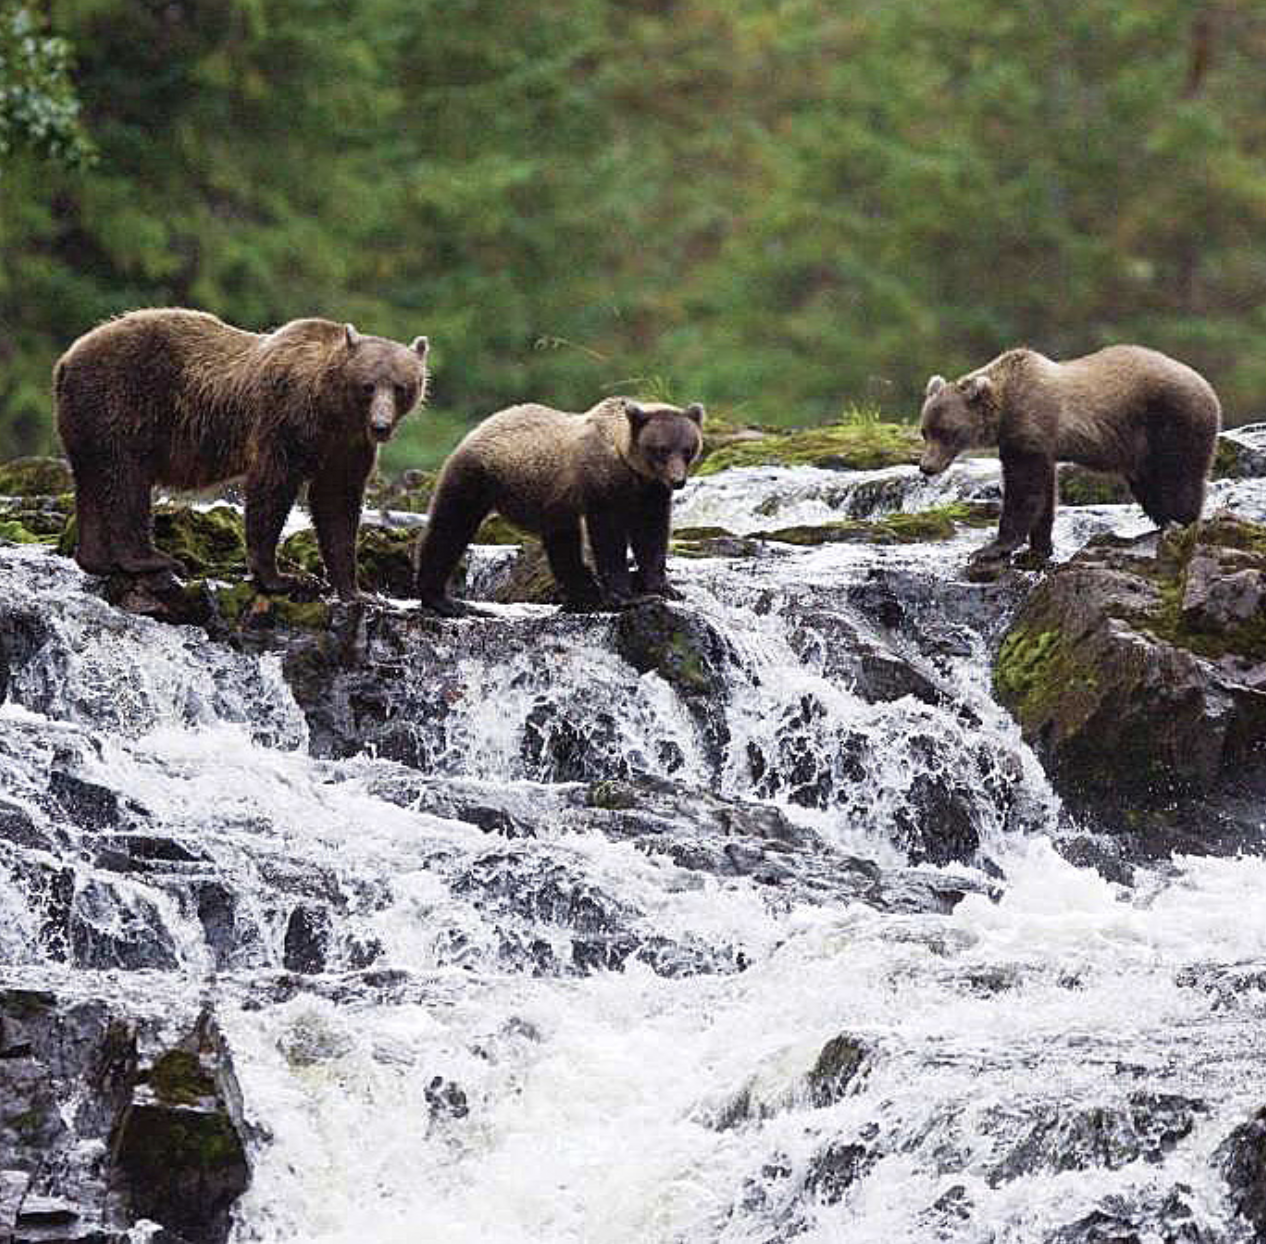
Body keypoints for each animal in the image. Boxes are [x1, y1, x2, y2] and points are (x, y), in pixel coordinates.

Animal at [53, 311, 430, 602]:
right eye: (368, 386)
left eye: (400, 387)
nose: (381, 425)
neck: (331, 409)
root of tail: (66, 359)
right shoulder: (286, 423)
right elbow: (271, 490)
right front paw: (281, 577)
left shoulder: (347, 447)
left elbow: (336, 504)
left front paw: (354, 590)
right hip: (121, 402)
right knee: (126, 480)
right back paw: (151, 559)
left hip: (85, 423)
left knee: (93, 480)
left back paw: (96, 559)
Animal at [420, 397, 708, 615]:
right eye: (661, 449)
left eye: (687, 449)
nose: (678, 480)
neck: (628, 464)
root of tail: (479, 427)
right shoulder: (603, 486)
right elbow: (609, 538)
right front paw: (628, 595)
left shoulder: (651, 493)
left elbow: (651, 535)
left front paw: (663, 587)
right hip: (479, 476)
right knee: (450, 528)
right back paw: (442, 600)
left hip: (551, 502)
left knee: (563, 546)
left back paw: (585, 597)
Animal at [916, 346, 1220, 566]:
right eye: (925, 431)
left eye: (947, 432)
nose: (926, 467)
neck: (1005, 411)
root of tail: (1207, 387)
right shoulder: (1037, 447)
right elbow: (1045, 494)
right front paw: (1038, 548)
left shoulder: (1031, 431)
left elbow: (1024, 491)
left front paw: (991, 548)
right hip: (1142, 450)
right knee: (1150, 486)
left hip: (1173, 423)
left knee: (1179, 479)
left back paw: (1183, 525)